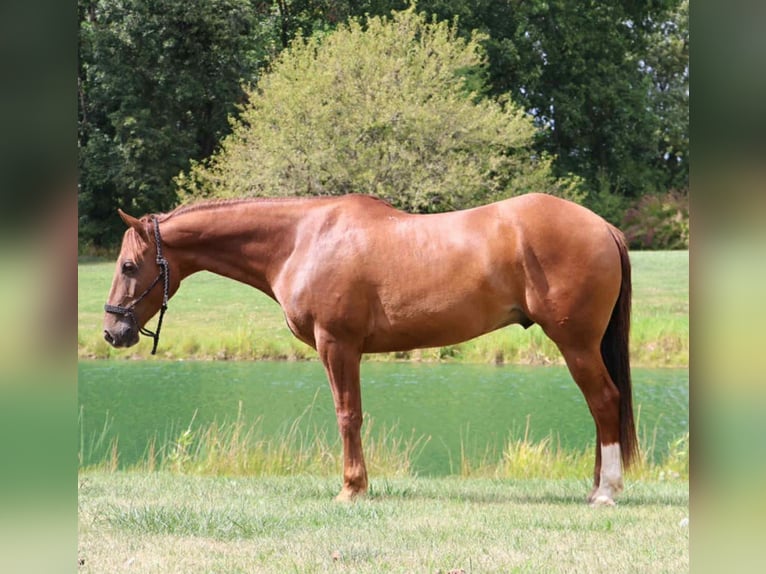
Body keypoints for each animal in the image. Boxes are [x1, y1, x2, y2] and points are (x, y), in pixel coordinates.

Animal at [103, 193, 637, 505]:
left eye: (129, 266)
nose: (112, 332)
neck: (300, 240)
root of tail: (603, 227)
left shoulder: (337, 345)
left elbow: (348, 416)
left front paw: (352, 488)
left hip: (575, 343)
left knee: (604, 402)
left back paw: (606, 492)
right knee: (601, 408)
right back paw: (596, 486)